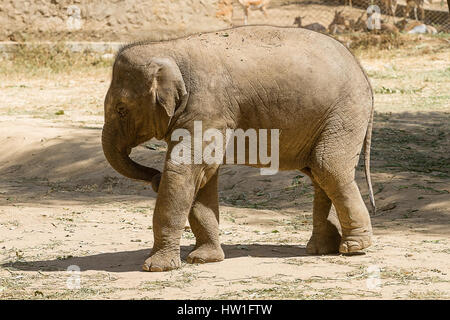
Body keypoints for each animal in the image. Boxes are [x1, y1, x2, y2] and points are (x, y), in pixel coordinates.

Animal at [102, 25, 376, 272]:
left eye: (121, 110)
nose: (155, 180)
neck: (168, 48)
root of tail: (360, 68)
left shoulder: (207, 107)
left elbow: (185, 169)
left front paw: (157, 268)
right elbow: (203, 175)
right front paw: (204, 259)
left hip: (344, 113)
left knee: (328, 167)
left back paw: (354, 247)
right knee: (319, 173)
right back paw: (321, 249)